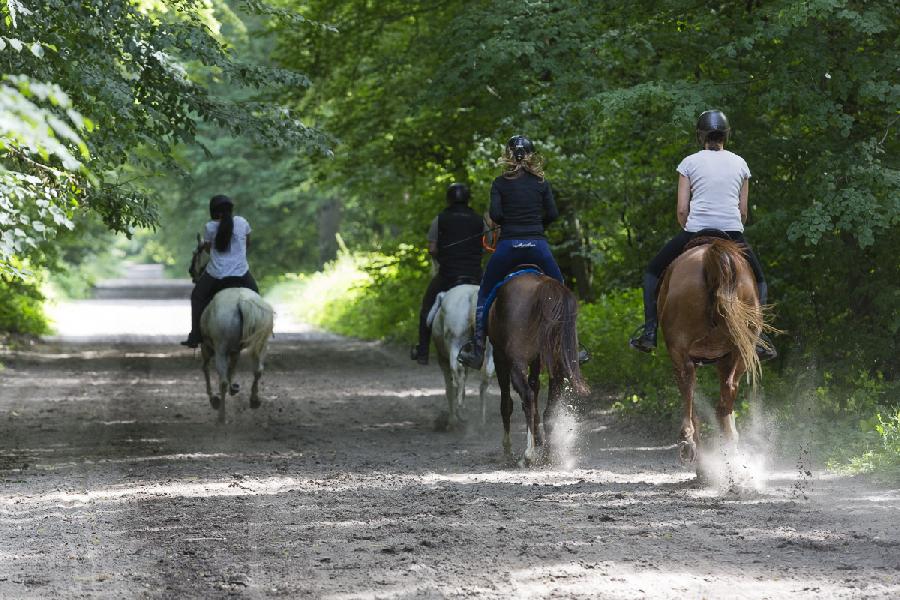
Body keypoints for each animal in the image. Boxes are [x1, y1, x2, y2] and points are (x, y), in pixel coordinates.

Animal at [190, 234, 274, 422]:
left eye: (196, 253)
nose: (191, 272)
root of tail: (241, 300)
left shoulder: (206, 346)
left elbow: (205, 368)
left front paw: (214, 398)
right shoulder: (235, 349)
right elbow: (233, 367)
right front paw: (234, 388)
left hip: (220, 348)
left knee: (221, 379)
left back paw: (221, 415)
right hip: (261, 342)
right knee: (258, 370)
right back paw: (254, 400)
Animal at [428, 284, 492, 428]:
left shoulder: (443, 360)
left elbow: (449, 388)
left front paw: (452, 420)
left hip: (455, 344)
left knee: (457, 374)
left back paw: (461, 413)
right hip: (490, 351)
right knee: (485, 378)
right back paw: (481, 420)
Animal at [486, 272, 592, 464]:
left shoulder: (500, 358)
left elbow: (507, 404)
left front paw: (507, 448)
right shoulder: (536, 363)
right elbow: (535, 390)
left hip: (516, 362)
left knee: (527, 397)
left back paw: (529, 454)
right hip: (556, 365)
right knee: (548, 408)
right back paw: (548, 453)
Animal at [652, 237, 772, 462]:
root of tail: (713, 254)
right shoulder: (725, 358)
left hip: (679, 350)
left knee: (688, 384)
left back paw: (688, 440)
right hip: (741, 348)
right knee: (729, 388)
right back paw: (728, 442)